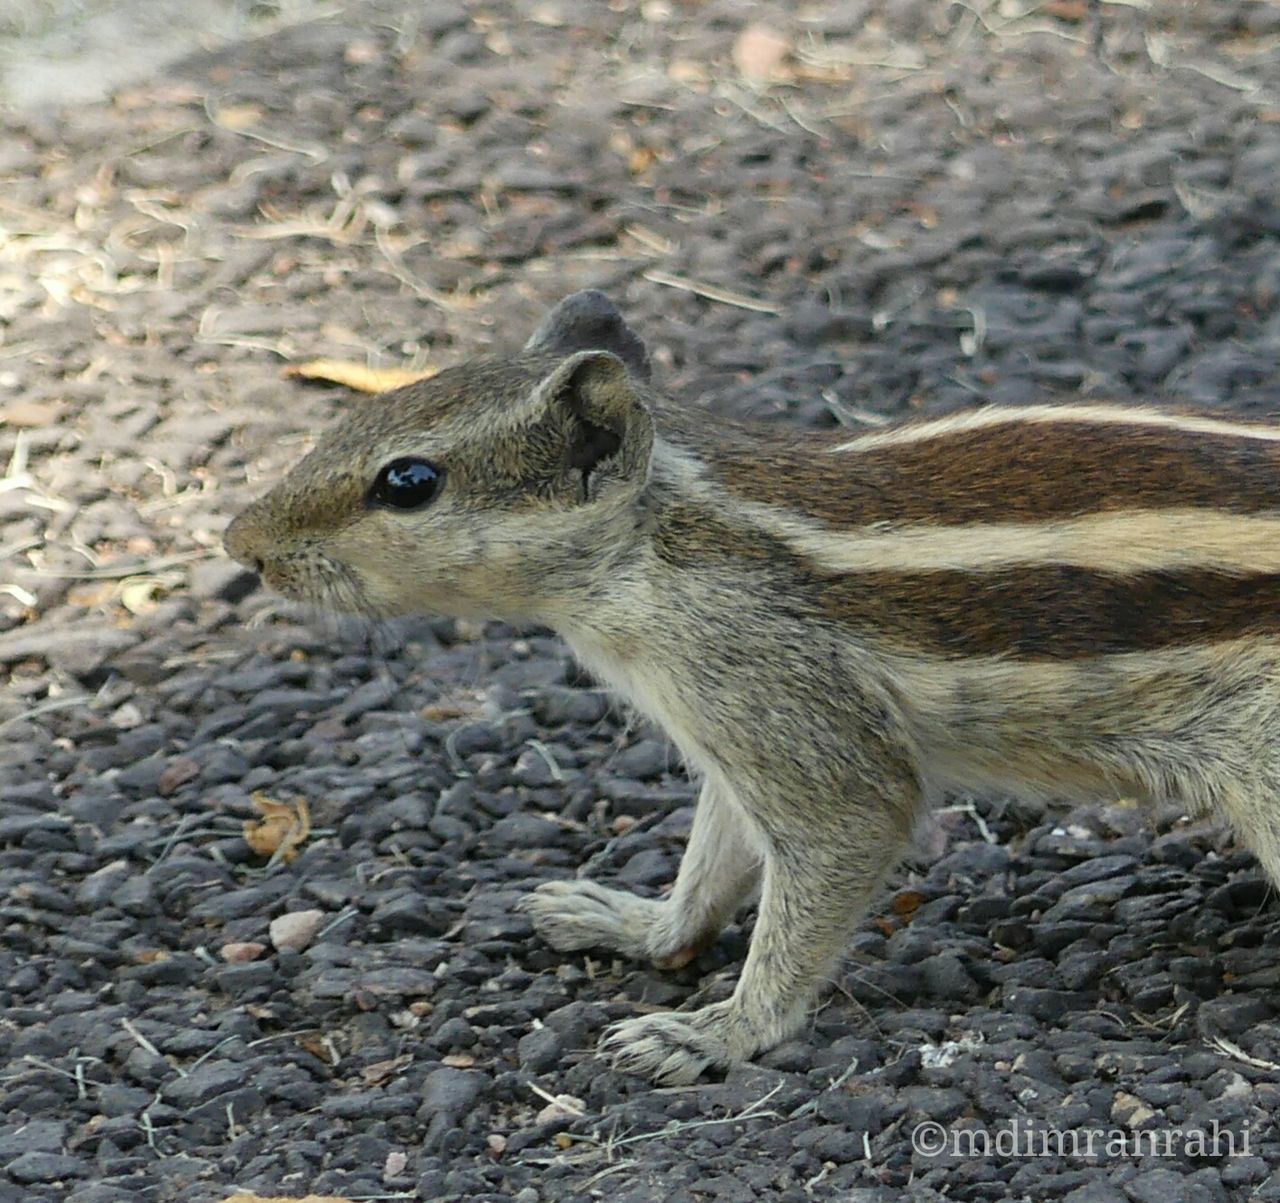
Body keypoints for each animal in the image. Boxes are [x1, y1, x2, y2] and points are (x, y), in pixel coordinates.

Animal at [222, 293, 1280, 1090]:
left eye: (408, 481)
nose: (239, 543)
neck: (666, 541)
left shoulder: (779, 704)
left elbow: (834, 845)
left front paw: (719, 1032)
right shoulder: (726, 735)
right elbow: (713, 857)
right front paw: (636, 925)